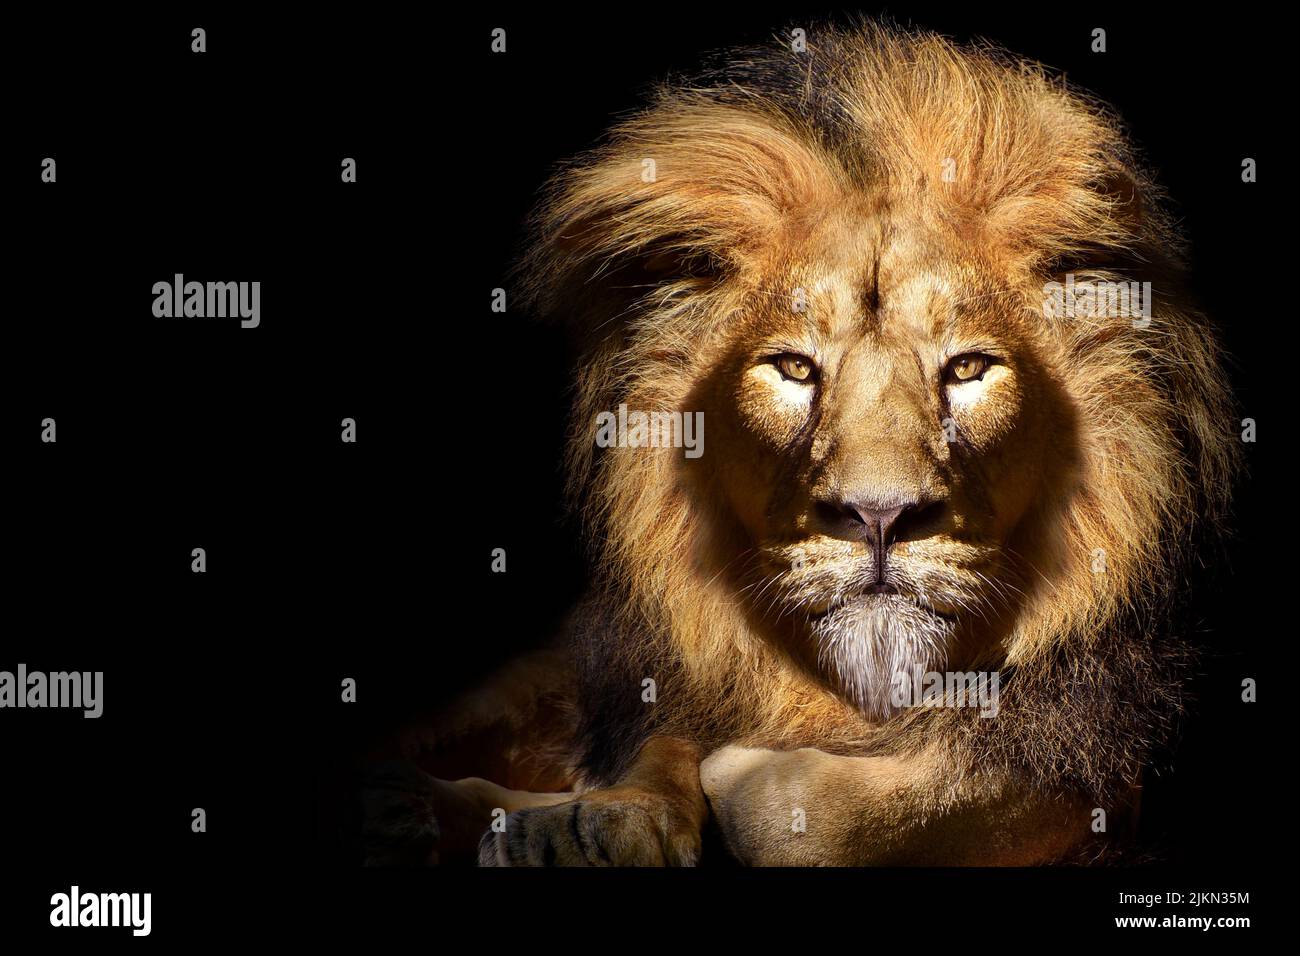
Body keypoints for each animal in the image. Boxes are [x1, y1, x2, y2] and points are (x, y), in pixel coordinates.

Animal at [364, 20, 1237, 866]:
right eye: (793, 368)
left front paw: (732, 775)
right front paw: (595, 818)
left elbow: (820, 811)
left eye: (967, 368)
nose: (880, 517)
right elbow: (660, 748)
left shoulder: (1091, 766)